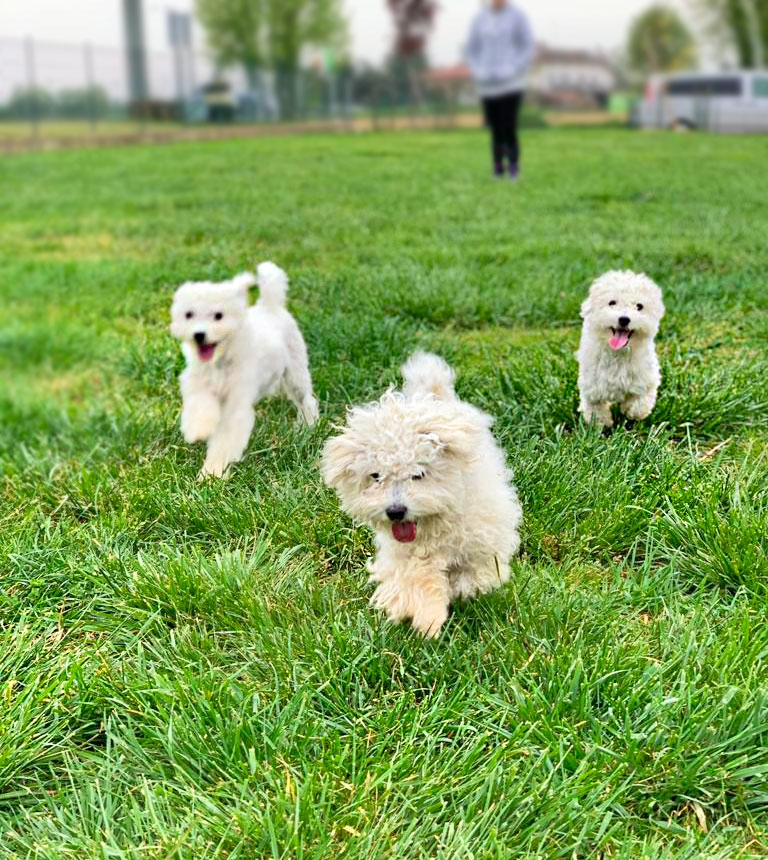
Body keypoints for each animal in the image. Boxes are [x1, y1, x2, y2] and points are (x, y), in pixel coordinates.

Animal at [170, 262, 318, 478]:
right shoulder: (199, 386)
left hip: (295, 372)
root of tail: (270, 306)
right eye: (189, 314)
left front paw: (213, 473)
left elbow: (224, 441)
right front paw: (199, 429)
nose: (199, 334)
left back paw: (308, 425)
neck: (221, 361)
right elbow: (200, 407)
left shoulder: (235, 406)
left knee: (306, 400)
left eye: (218, 315)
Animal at [318, 352, 520, 640]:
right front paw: (427, 618)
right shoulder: (405, 554)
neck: (438, 523)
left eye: (418, 473)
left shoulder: (483, 540)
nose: (395, 511)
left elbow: (475, 574)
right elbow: (417, 580)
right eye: (376, 476)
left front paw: (460, 591)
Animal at [576, 270, 664, 428]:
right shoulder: (592, 387)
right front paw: (601, 424)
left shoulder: (646, 378)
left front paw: (630, 412)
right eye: (612, 302)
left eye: (639, 306)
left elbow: (639, 403)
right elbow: (596, 410)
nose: (624, 319)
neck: (619, 353)